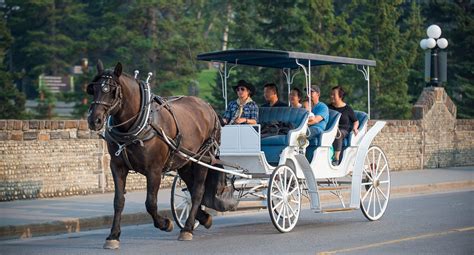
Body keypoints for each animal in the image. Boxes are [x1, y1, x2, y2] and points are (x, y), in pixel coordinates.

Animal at [87, 60, 233, 248]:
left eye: (112, 91)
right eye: (93, 89)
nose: (94, 120)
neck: (139, 123)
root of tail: (208, 107)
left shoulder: (154, 170)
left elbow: (150, 203)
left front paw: (165, 223)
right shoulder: (117, 166)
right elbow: (118, 201)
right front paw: (113, 235)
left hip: (203, 158)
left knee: (198, 190)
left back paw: (187, 228)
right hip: (185, 162)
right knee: (191, 188)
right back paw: (202, 218)